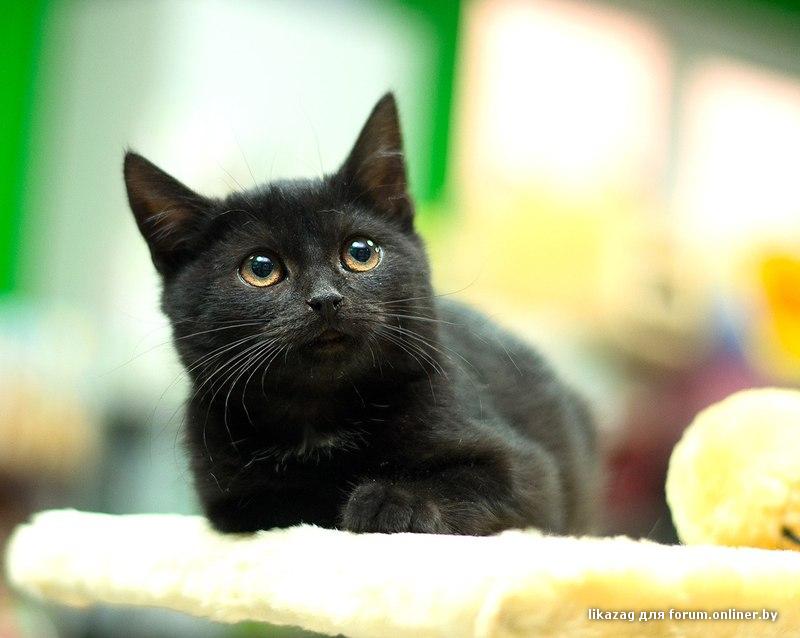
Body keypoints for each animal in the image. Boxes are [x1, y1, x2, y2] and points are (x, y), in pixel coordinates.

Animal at [124, 93, 598, 535]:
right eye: (259, 268)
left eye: (360, 252)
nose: (326, 298)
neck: (320, 421)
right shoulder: (229, 501)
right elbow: (282, 503)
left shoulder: (531, 469)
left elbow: (475, 481)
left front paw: (389, 501)